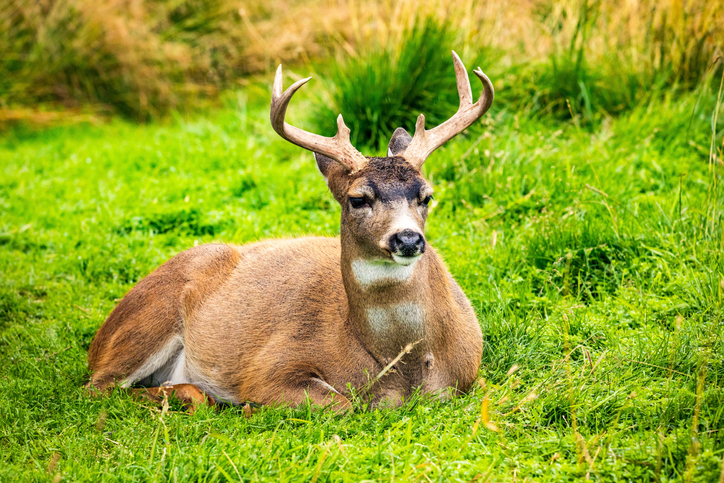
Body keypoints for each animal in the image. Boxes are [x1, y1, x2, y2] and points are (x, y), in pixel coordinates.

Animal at [85, 52, 492, 412]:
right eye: (358, 199)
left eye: (426, 195)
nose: (407, 239)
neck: (404, 367)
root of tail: (96, 342)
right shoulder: (268, 366)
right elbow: (341, 403)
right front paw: (246, 406)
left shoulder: (471, 374)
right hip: (147, 321)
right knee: (99, 387)